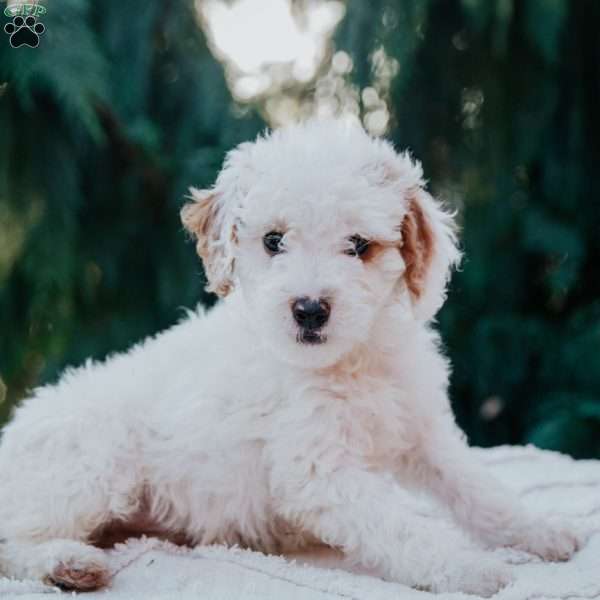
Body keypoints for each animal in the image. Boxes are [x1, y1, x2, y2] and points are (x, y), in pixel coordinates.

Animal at [0, 119, 580, 592]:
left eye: (359, 245)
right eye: (274, 240)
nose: (309, 310)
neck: (353, 360)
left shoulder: (425, 432)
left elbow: (478, 489)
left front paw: (541, 531)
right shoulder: (319, 470)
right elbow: (400, 525)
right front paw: (469, 568)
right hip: (94, 461)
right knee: (13, 543)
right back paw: (69, 563)